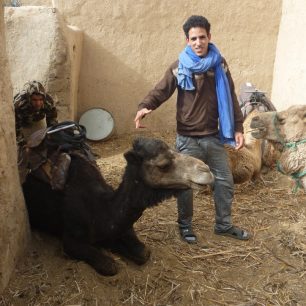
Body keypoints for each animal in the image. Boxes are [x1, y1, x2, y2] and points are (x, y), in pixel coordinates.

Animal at [22, 136, 214, 274]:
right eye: (163, 165)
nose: (206, 170)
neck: (99, 209)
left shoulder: (122, 228)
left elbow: (144, 253)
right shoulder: (70, 239)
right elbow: (110, 267)